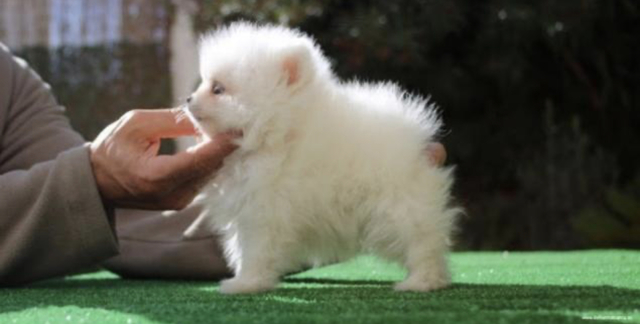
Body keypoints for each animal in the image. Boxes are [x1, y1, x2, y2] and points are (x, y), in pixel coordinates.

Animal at [185, 21, 460, 294]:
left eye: (218, 89)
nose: (188, 99)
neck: (277, 135)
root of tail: (414, 137)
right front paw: (245, 280)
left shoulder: (264, 210)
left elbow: (256, 250)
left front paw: (245, 283)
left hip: (399, 205)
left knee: (422, 240)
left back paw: (422, 281)